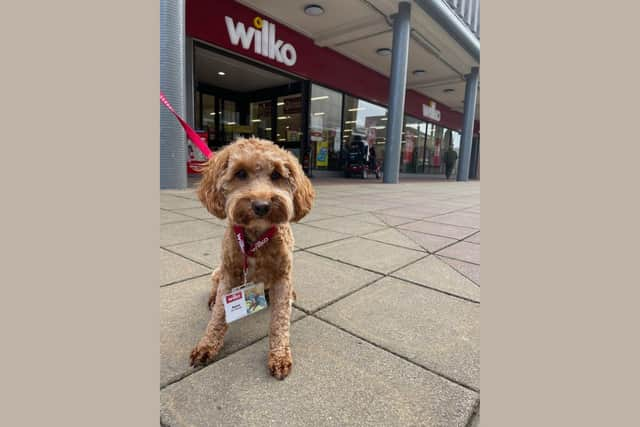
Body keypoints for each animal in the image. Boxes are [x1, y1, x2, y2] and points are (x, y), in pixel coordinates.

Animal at [189, 138, 316, 382]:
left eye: (276, 175)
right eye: (240, 173)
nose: (261, 205)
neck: (257, 236)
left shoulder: (282, 277)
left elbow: (280, 320)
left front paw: (279, 356)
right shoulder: (229, 273)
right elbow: (219, 314)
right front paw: (207, 345)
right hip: (217, 271)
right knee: (215, 290)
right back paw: (211, 299)